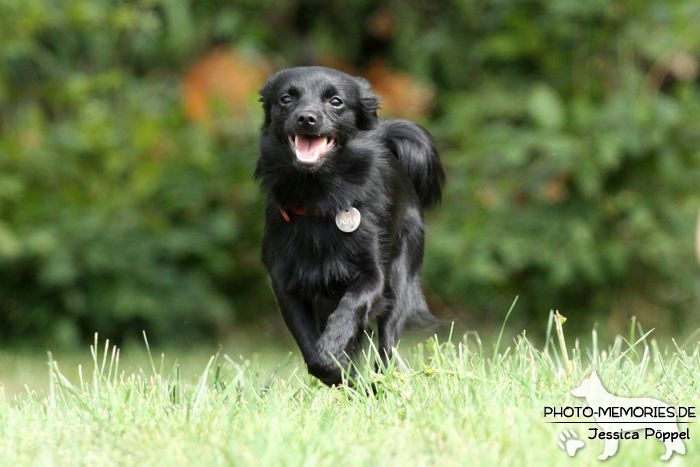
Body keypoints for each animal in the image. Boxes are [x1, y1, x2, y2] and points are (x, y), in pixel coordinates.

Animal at [254, 66, 446, 388]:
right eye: (285, 99)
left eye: (335, 101)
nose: (306, 118)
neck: (317, 196)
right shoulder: (285, 285)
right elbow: (308, 343)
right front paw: (336, 369)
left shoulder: (372, 276)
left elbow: (351, 307)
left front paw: (335, 351)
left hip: (400, 278)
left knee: (387, 343)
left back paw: (381, 383)